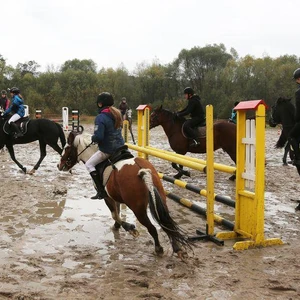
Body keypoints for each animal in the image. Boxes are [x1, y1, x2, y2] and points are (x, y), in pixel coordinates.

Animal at [56, 131, 192, 258]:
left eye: (66, 148)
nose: (59, 165)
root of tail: (142, 170)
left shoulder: (107, 197)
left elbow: (115, 215)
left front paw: (130, 228)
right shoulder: (114, 196)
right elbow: (117, 213)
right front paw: (118, 226)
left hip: (138, 209)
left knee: (152, 228)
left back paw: (158, 249)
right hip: (161, 201)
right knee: (167, 224)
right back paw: (177, 249)